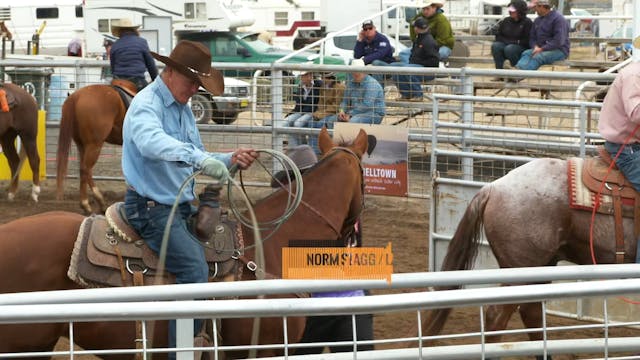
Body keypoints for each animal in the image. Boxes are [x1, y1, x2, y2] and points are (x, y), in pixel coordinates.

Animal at [56, 82, 135, 214]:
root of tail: (76, 96)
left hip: (82, 145)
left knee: (84, 169)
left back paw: (94, 203)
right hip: (94, 145)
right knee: (85, 169)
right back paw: (90, 203)